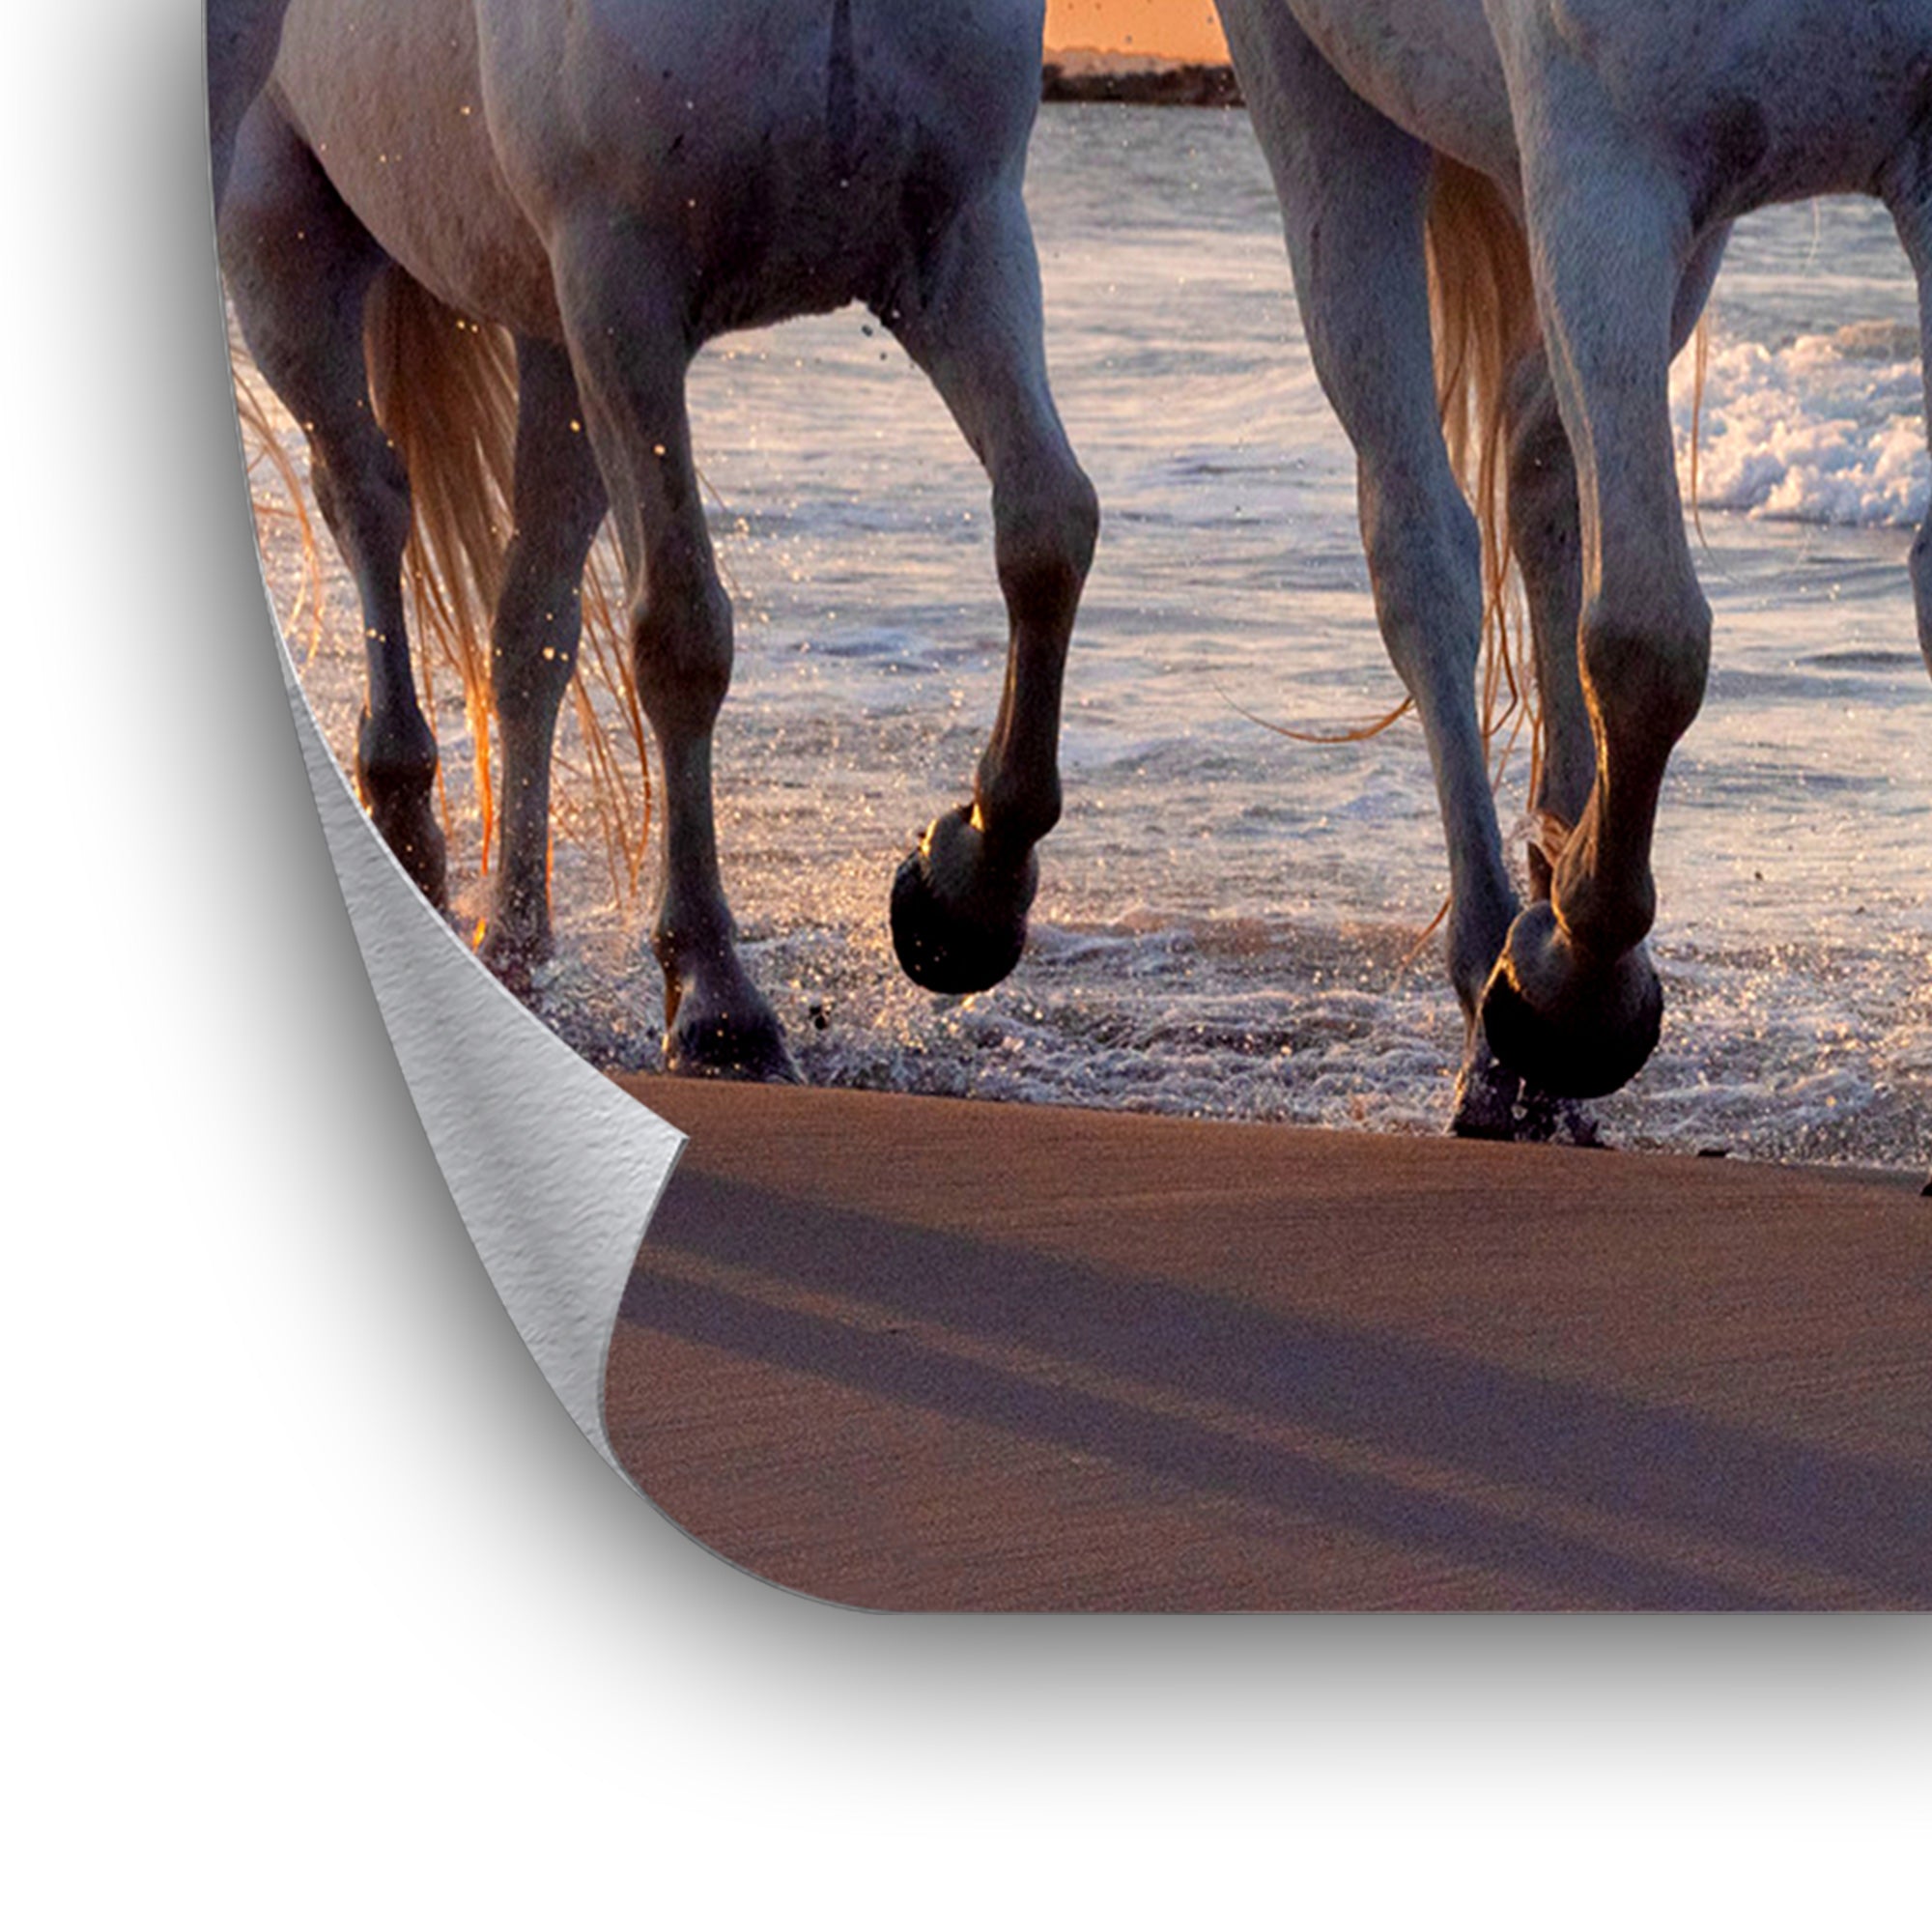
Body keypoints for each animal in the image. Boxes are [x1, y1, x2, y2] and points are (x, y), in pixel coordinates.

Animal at [219, 0, 1097, 1080]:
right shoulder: (623, 290)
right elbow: (680, 634)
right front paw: (718, 1000)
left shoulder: (963, 243)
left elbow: (1048, 529)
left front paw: (963, 894)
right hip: (285, 241)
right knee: (370, 502)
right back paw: (408, 825)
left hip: (555, 347)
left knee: (528, 631)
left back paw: (513, 947)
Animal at [1214, 0, 1932, 1142]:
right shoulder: (1604, 162)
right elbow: (1647, 642)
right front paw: (1575, 992)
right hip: (1327, 113)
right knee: (1423, 550)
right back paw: (1503, 997)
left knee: (1542, 462)